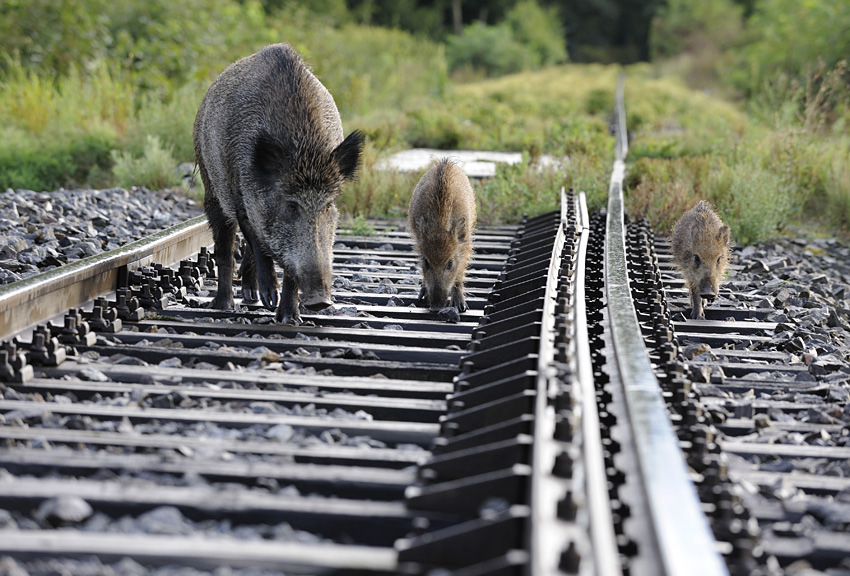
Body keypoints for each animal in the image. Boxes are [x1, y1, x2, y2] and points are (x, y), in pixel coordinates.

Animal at [193, 43, 364, 325]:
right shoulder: (241, 197)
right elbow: (255, 242)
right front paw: (269, 299)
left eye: (328, 205)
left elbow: (285, 266)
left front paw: (289, 318)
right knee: (225, 246)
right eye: (291, 205)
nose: (321, 301)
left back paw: (250, 296)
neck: (304, 147)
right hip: (210, 184)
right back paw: (225, 305)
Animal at [408, 158, 476, 312]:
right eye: (426, 262)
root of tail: (446, 161)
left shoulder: (465, 244)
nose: (436, 307)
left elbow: (460, 270)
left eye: (450, 263)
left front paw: (460, 306)